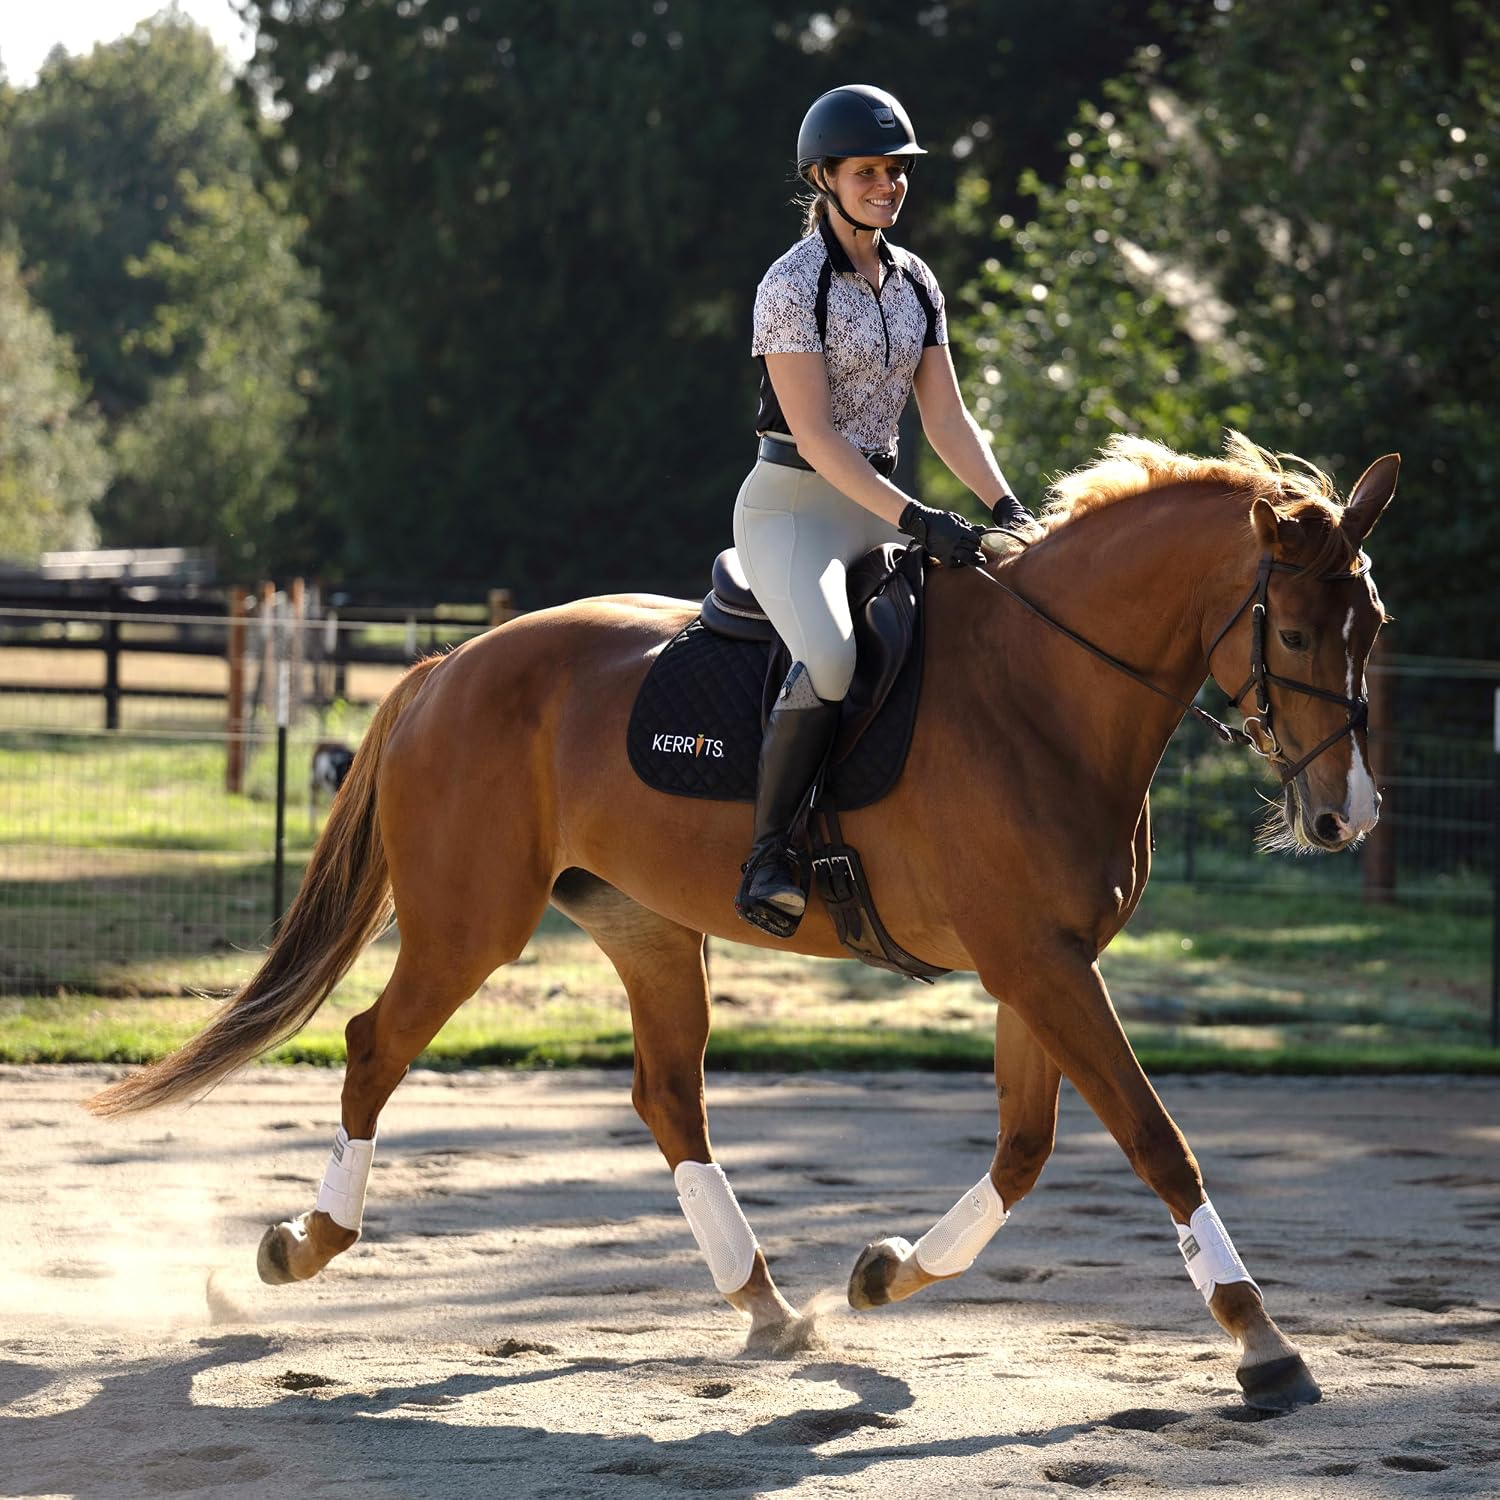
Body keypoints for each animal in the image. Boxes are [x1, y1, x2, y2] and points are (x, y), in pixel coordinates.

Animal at [87, 433, 1397, 1413]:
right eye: (1290, 633)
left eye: (1371, 630)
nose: (1348, 817)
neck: (1045, 689)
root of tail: (449, 666)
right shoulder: (1037, 961)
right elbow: (1153, 1138)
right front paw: (1263, 1345)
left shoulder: (1044, 962)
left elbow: (1028, 1147)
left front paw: (885, 1274)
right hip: (471, 924)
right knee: (375, 1047)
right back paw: (300, 1244)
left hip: (647, 929)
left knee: (668, 1096)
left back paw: (766, 1304)